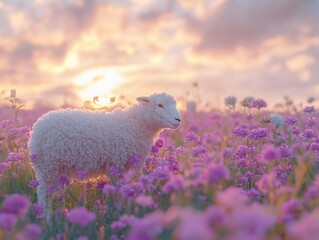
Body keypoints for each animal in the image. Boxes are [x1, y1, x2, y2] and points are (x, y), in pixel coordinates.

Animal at [28, 92, 182, 221]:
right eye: (160, 105)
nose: (178, 119)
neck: (136, 124)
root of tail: (37, 127)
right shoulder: (117, 164)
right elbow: (118, 192)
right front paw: (118, 213)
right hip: (48, 167)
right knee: (44, 194)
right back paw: (46, 219)